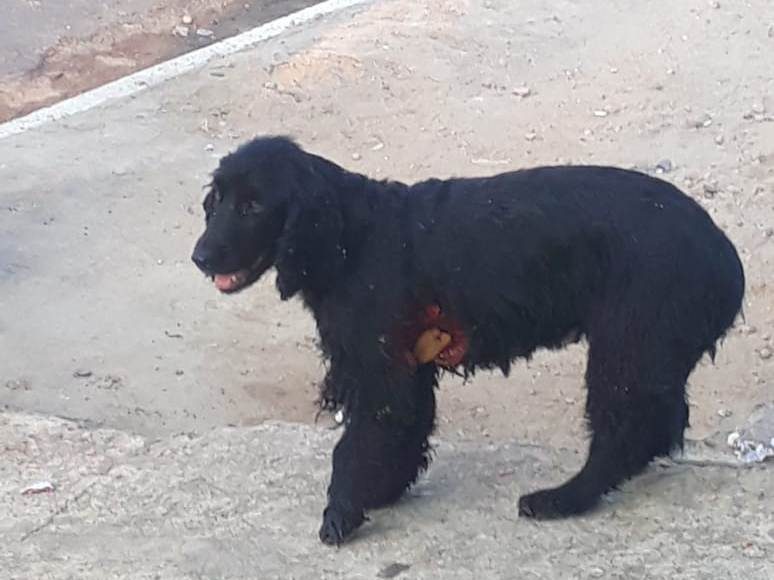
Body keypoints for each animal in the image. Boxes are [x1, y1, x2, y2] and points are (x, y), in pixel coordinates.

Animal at [192, 136, 744, 545]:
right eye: (218, 200)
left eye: (254, 205)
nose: (199, 257)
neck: (349, 237)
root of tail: (722, 253)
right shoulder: (405, 369)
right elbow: (403, 433)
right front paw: (383, 490)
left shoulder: (379, 375)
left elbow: (355, 446)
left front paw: (343, 510)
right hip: (644, 353)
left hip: (624, 348)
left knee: (622, 434)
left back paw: (562, 499)